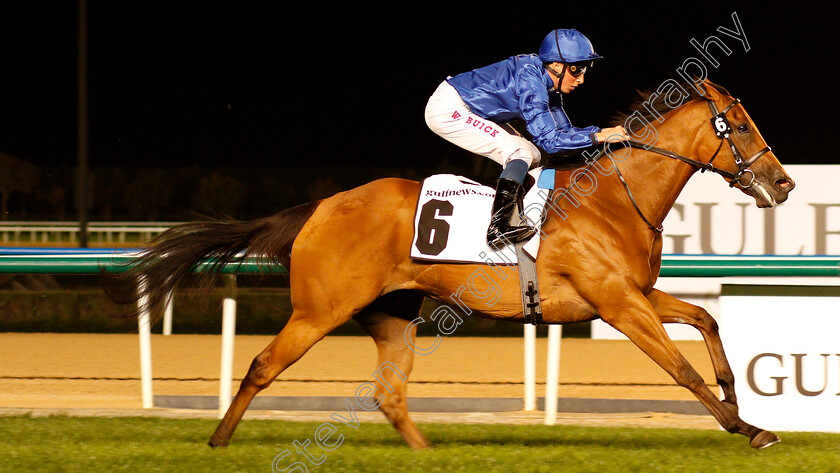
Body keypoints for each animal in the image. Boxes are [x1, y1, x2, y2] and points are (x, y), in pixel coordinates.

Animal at [103, 78, 796, 450]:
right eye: (738, 124)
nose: (784, 184)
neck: (613, 199)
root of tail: (320, 207)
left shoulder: (635, 294)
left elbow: (707, 320)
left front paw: (738, 396)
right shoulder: (618, 304)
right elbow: (680, 369)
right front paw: (747, 427)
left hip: (392, 314)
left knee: (389, 393)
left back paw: (425, 450)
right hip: (320, 309)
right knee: (263, 365)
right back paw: (219, 439)